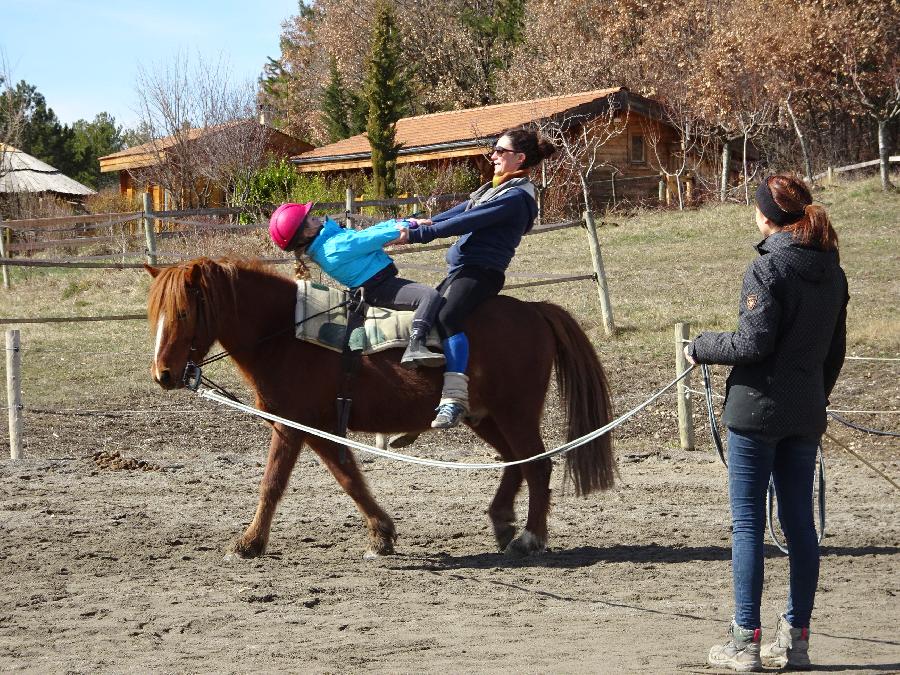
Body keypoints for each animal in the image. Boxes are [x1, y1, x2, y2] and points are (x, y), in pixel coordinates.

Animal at [148, 258, 616, 560]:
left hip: (515, 413)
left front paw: (249, 543)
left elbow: (275, 483)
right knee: (514, 462)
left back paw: (531, 538)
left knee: (537, 465)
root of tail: (534, 310)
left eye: (184, 312)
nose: (163, 374)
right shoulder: (315, 426)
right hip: (485, 417)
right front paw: (381, 534)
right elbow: (349, 478)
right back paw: (503, 522)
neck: (285, 334)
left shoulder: (294, 425)